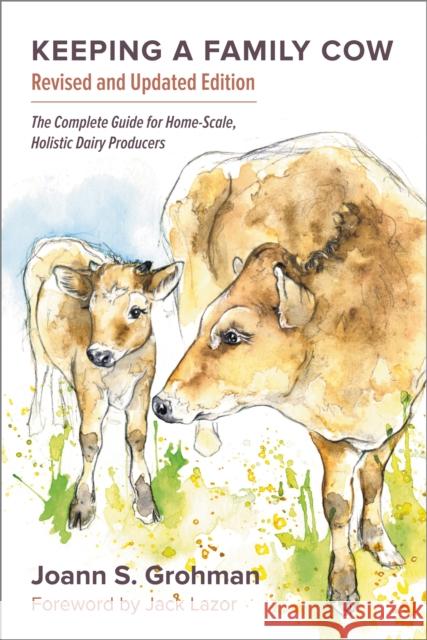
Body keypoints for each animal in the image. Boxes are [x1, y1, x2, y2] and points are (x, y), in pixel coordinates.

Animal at [24, 237, 183, 529]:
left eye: (136, 310)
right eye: (91, 308)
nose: (98, 354)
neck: (120, 366)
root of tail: (58, 240)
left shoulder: (143, 385)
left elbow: (137, 436)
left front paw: (145, 502)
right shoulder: (90, 387)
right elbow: (90, 439)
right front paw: (82, 504)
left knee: (58, 380)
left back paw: (62, 418)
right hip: (35, 336)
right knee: (42, 376)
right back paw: (37, 424)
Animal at [152, 133, 426, 600]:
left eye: (232, 335)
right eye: (214, 328)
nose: (161, 404)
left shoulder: (399, 414)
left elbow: (373, 479)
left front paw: (380, 546)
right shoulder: (328, 432)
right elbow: (337, 504)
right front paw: (343, 583)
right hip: (187, 293)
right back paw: (206, 442)